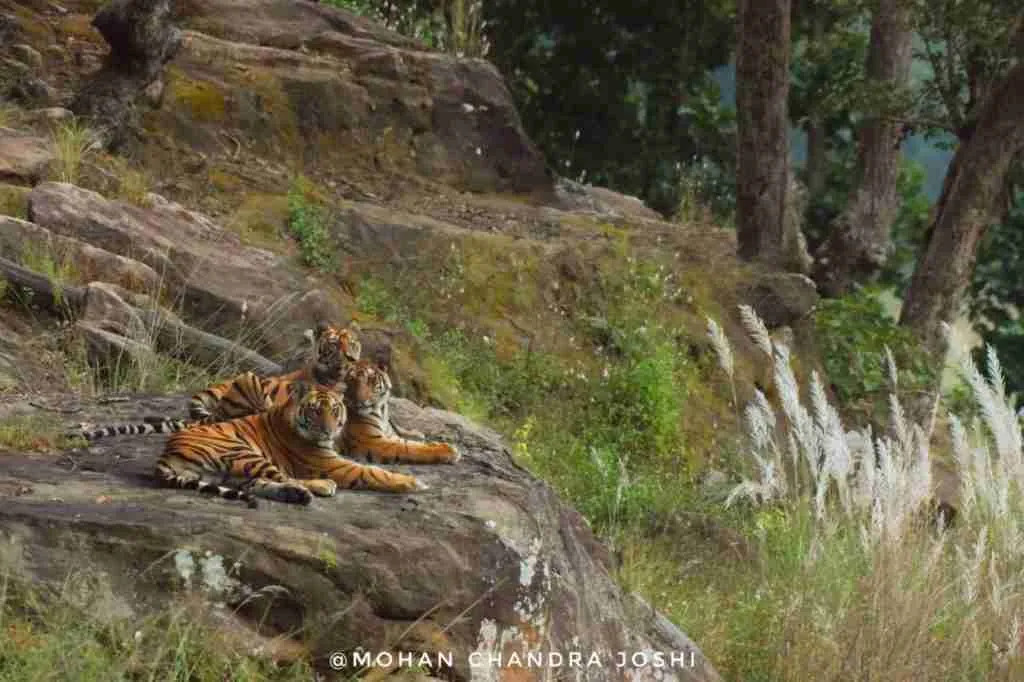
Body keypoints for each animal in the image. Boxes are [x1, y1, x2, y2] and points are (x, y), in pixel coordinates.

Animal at [156, 380, 426, 506]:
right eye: (316, 411)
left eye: (334, 410)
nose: (328, 431)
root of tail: (166, 453)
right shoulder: (333, 464)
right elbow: (373, 472)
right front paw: (413, 482)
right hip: (241, 452)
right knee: (283, 477)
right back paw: (319, 487)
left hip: (232, 472)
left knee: (258, 484)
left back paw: (296, 495)